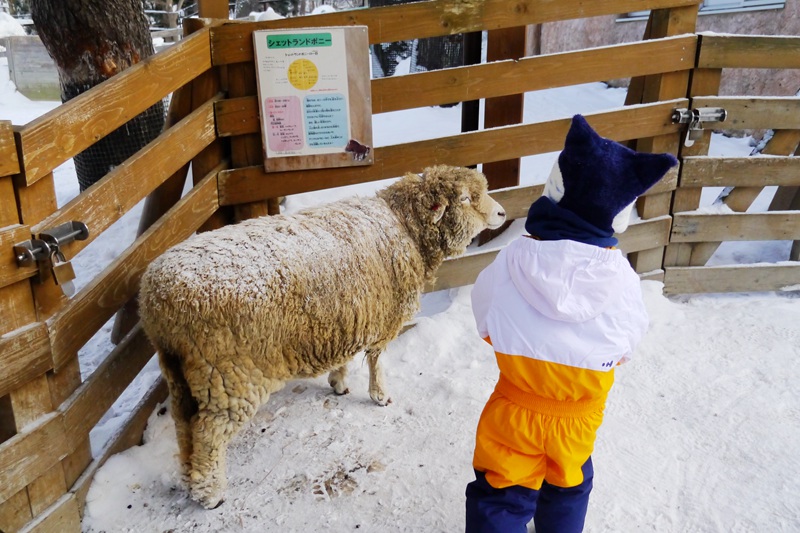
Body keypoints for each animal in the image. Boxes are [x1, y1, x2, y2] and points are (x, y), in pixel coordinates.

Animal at [134, 163, 504, 508]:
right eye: (466, 199)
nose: (501, 213)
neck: (404, 227)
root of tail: (157, 300)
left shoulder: (347, 316)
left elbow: (347, 355)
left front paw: (339, 383)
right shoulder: (383, 314)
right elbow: (376, 359)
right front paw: (379, 394)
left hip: (180, 373)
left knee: (185, 426)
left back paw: (189, 478)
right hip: (227, 374)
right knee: (209, 434)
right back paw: (210, 494)